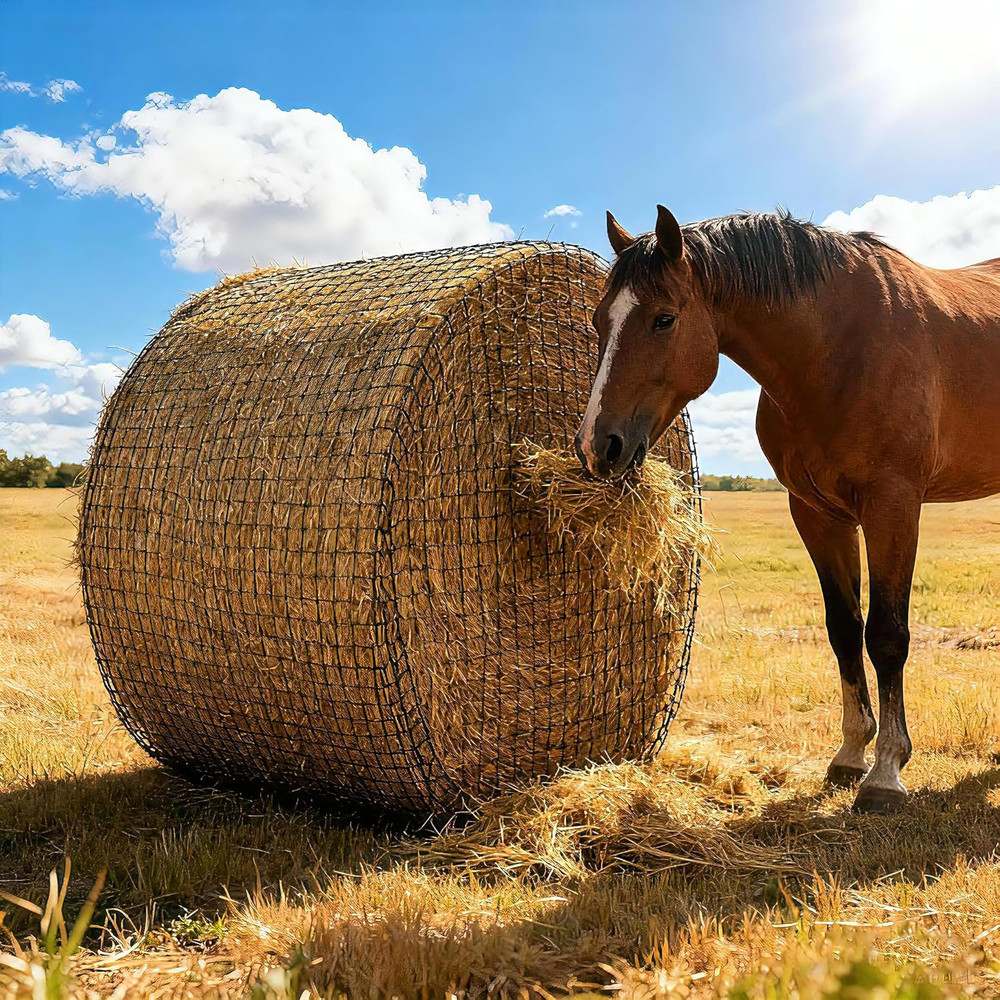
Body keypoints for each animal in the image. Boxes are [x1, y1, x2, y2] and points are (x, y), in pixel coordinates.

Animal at [575, 205, 1000, 813]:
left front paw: (886, 773)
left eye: (663, 319)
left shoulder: (893, 505)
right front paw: (850, 754)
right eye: (599, 321)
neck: (837, 347)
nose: (596, 445)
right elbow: (844, 629)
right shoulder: (817, 514)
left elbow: (887, 635)